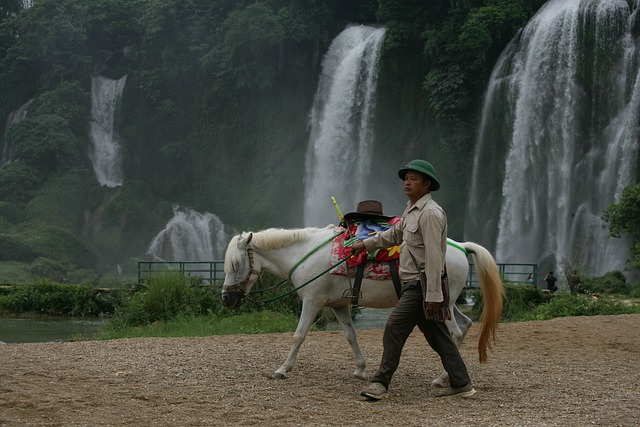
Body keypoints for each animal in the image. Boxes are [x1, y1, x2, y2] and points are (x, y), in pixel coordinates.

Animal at [221, 227, 504, 384]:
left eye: (236, 264)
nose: (226, 298)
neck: (304, 254)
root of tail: (461, 247)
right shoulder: (339, 306)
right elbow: (350, 335)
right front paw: (359, 369)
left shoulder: (312, 302)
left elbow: (298, 336)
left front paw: (282, 369)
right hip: (450, 303)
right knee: (465, 325)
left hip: (440, 305)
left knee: (455, 332)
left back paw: (444, 378)